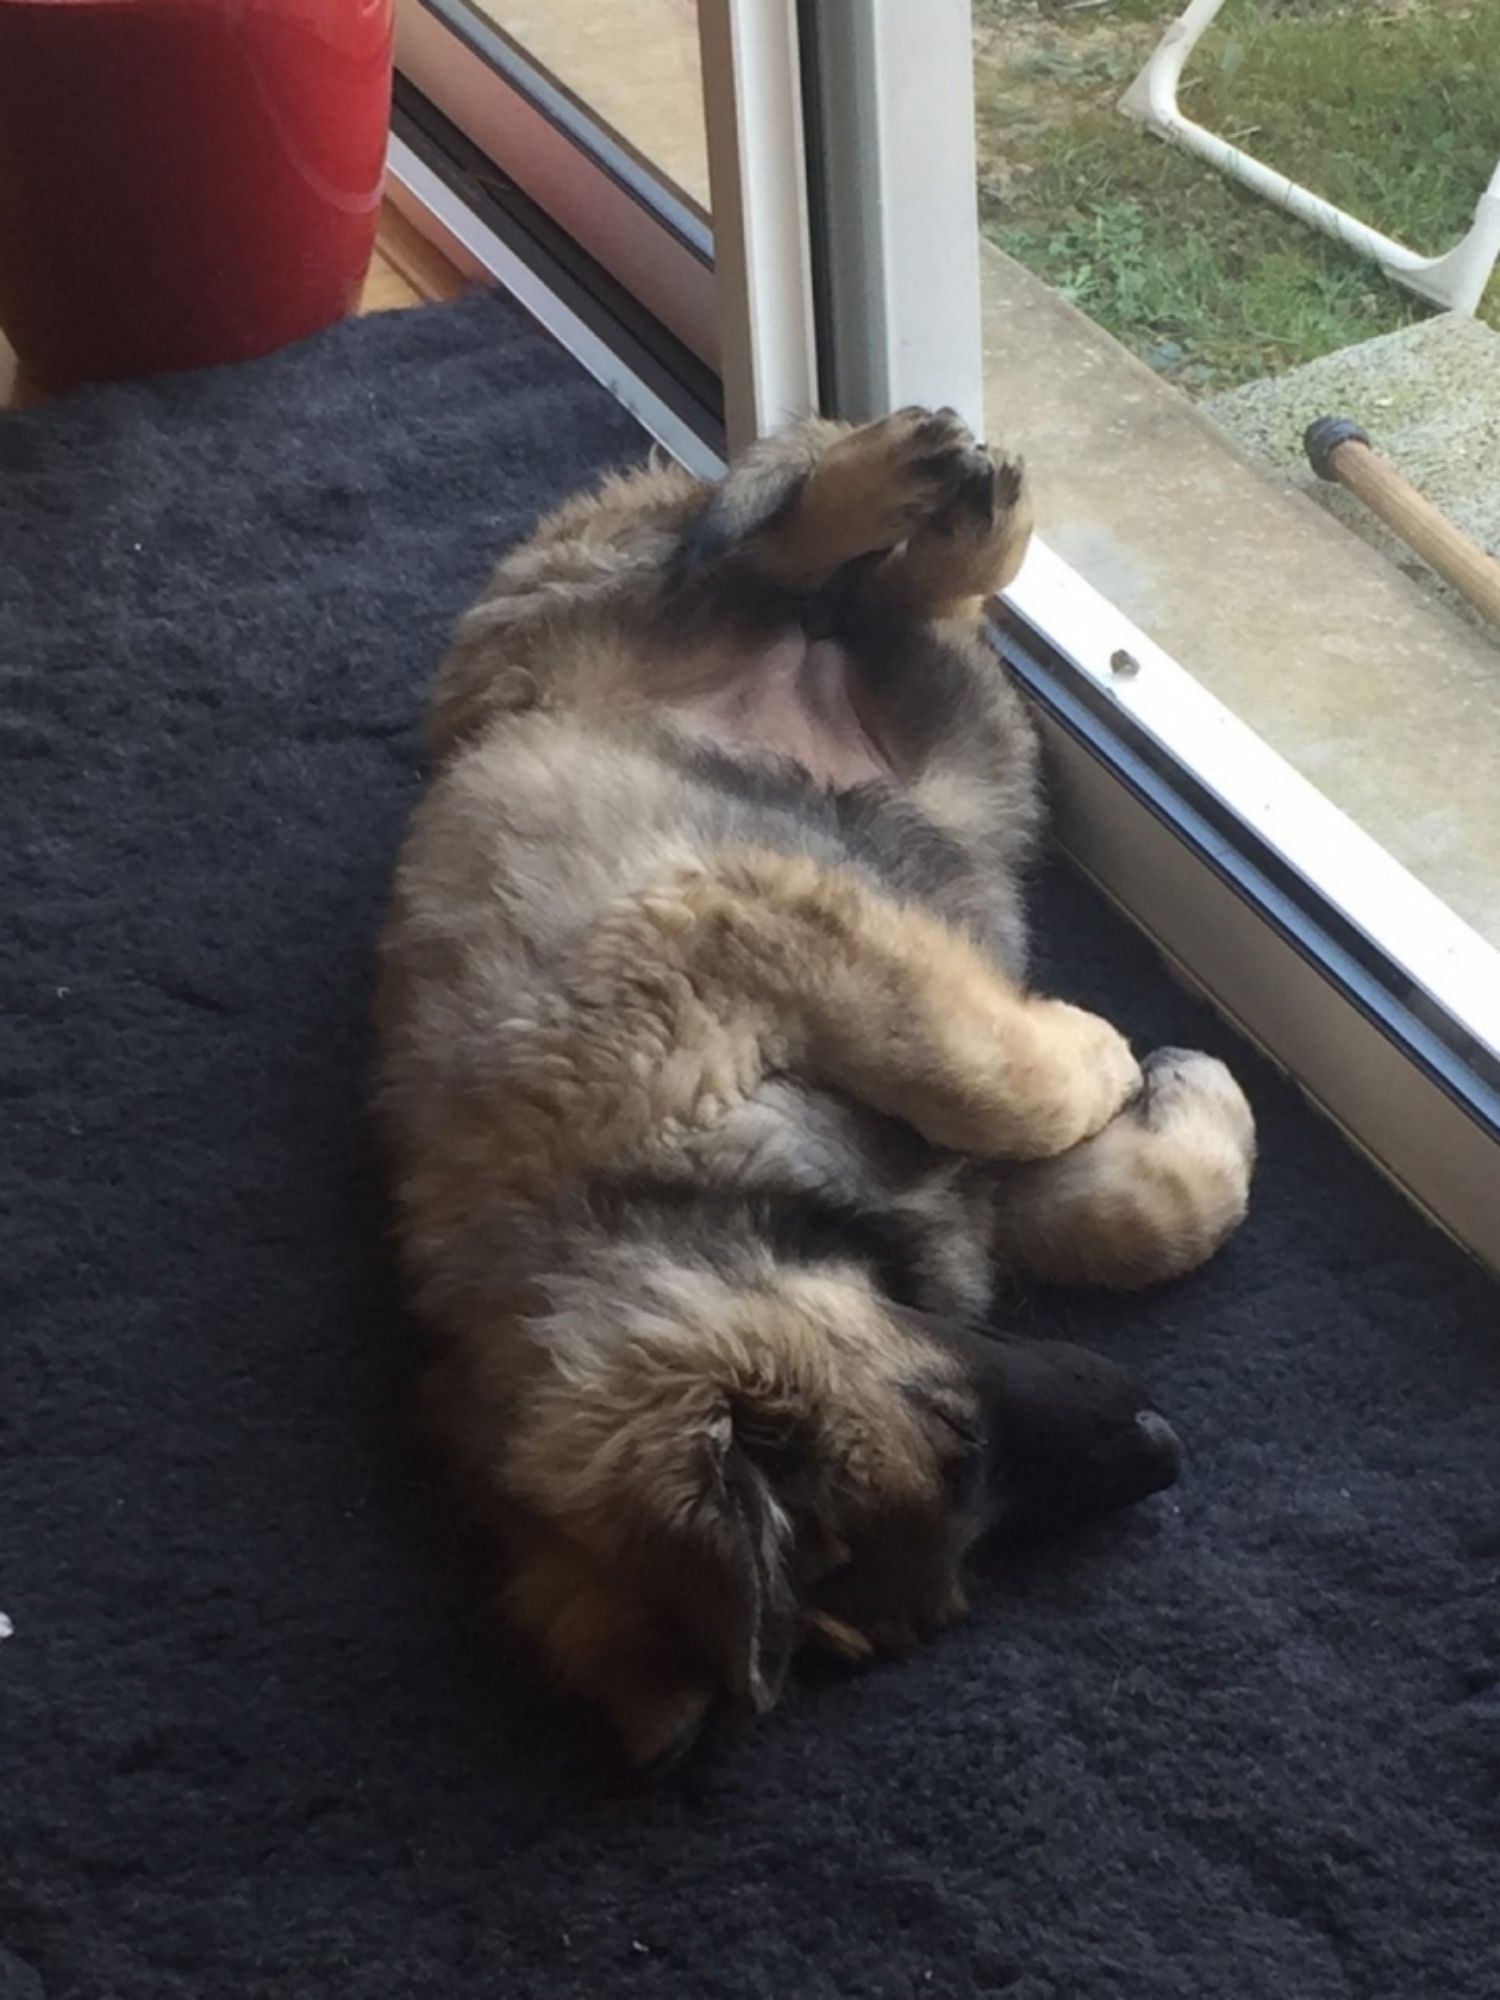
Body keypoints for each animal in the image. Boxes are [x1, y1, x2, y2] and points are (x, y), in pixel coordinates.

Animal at [375, 408, 1255, 1766]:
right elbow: (1118, 1205)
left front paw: (1119, 1065)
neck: (654, 1199)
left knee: (758, 562)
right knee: (890, 609)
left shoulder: (740, 932)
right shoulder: (953, 1190)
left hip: (609, 637)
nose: (1163, 1448)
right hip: (949, 734)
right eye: (967, 1506)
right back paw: (945, 512)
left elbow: (990, 1076)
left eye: (957, 1436)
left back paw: (909, 479)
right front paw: (1179, 1106)